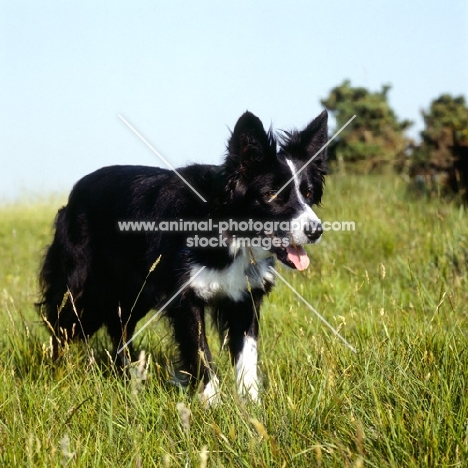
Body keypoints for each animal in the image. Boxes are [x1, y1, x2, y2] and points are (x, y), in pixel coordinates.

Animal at [38, 111, 328, 404]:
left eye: (308, 193)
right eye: (272, 195)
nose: (316, 231)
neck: (226, 228)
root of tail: (76, 190)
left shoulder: (245, 296)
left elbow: (247, 355)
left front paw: (251, 405)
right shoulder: (185, 296)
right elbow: (200, 351)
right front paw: (212, 403)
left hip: (134, 293)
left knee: (120, 328)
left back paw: (128, 375)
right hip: (83, 288)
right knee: (61, 325)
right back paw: (56, 373)